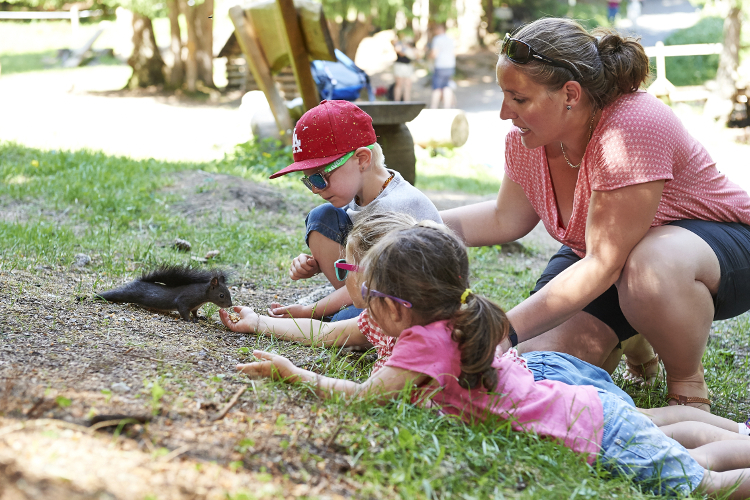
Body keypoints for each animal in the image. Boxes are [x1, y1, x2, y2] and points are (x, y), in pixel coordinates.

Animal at [95, 264, 234, 322]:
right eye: (221, 295)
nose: (230, 305)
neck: (203, 295)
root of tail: (137, 282)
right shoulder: (185, 300)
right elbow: (183, 310)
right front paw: (190, 320)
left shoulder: (195, 307)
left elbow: (195, 312)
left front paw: (199, 317)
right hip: (127, 293)